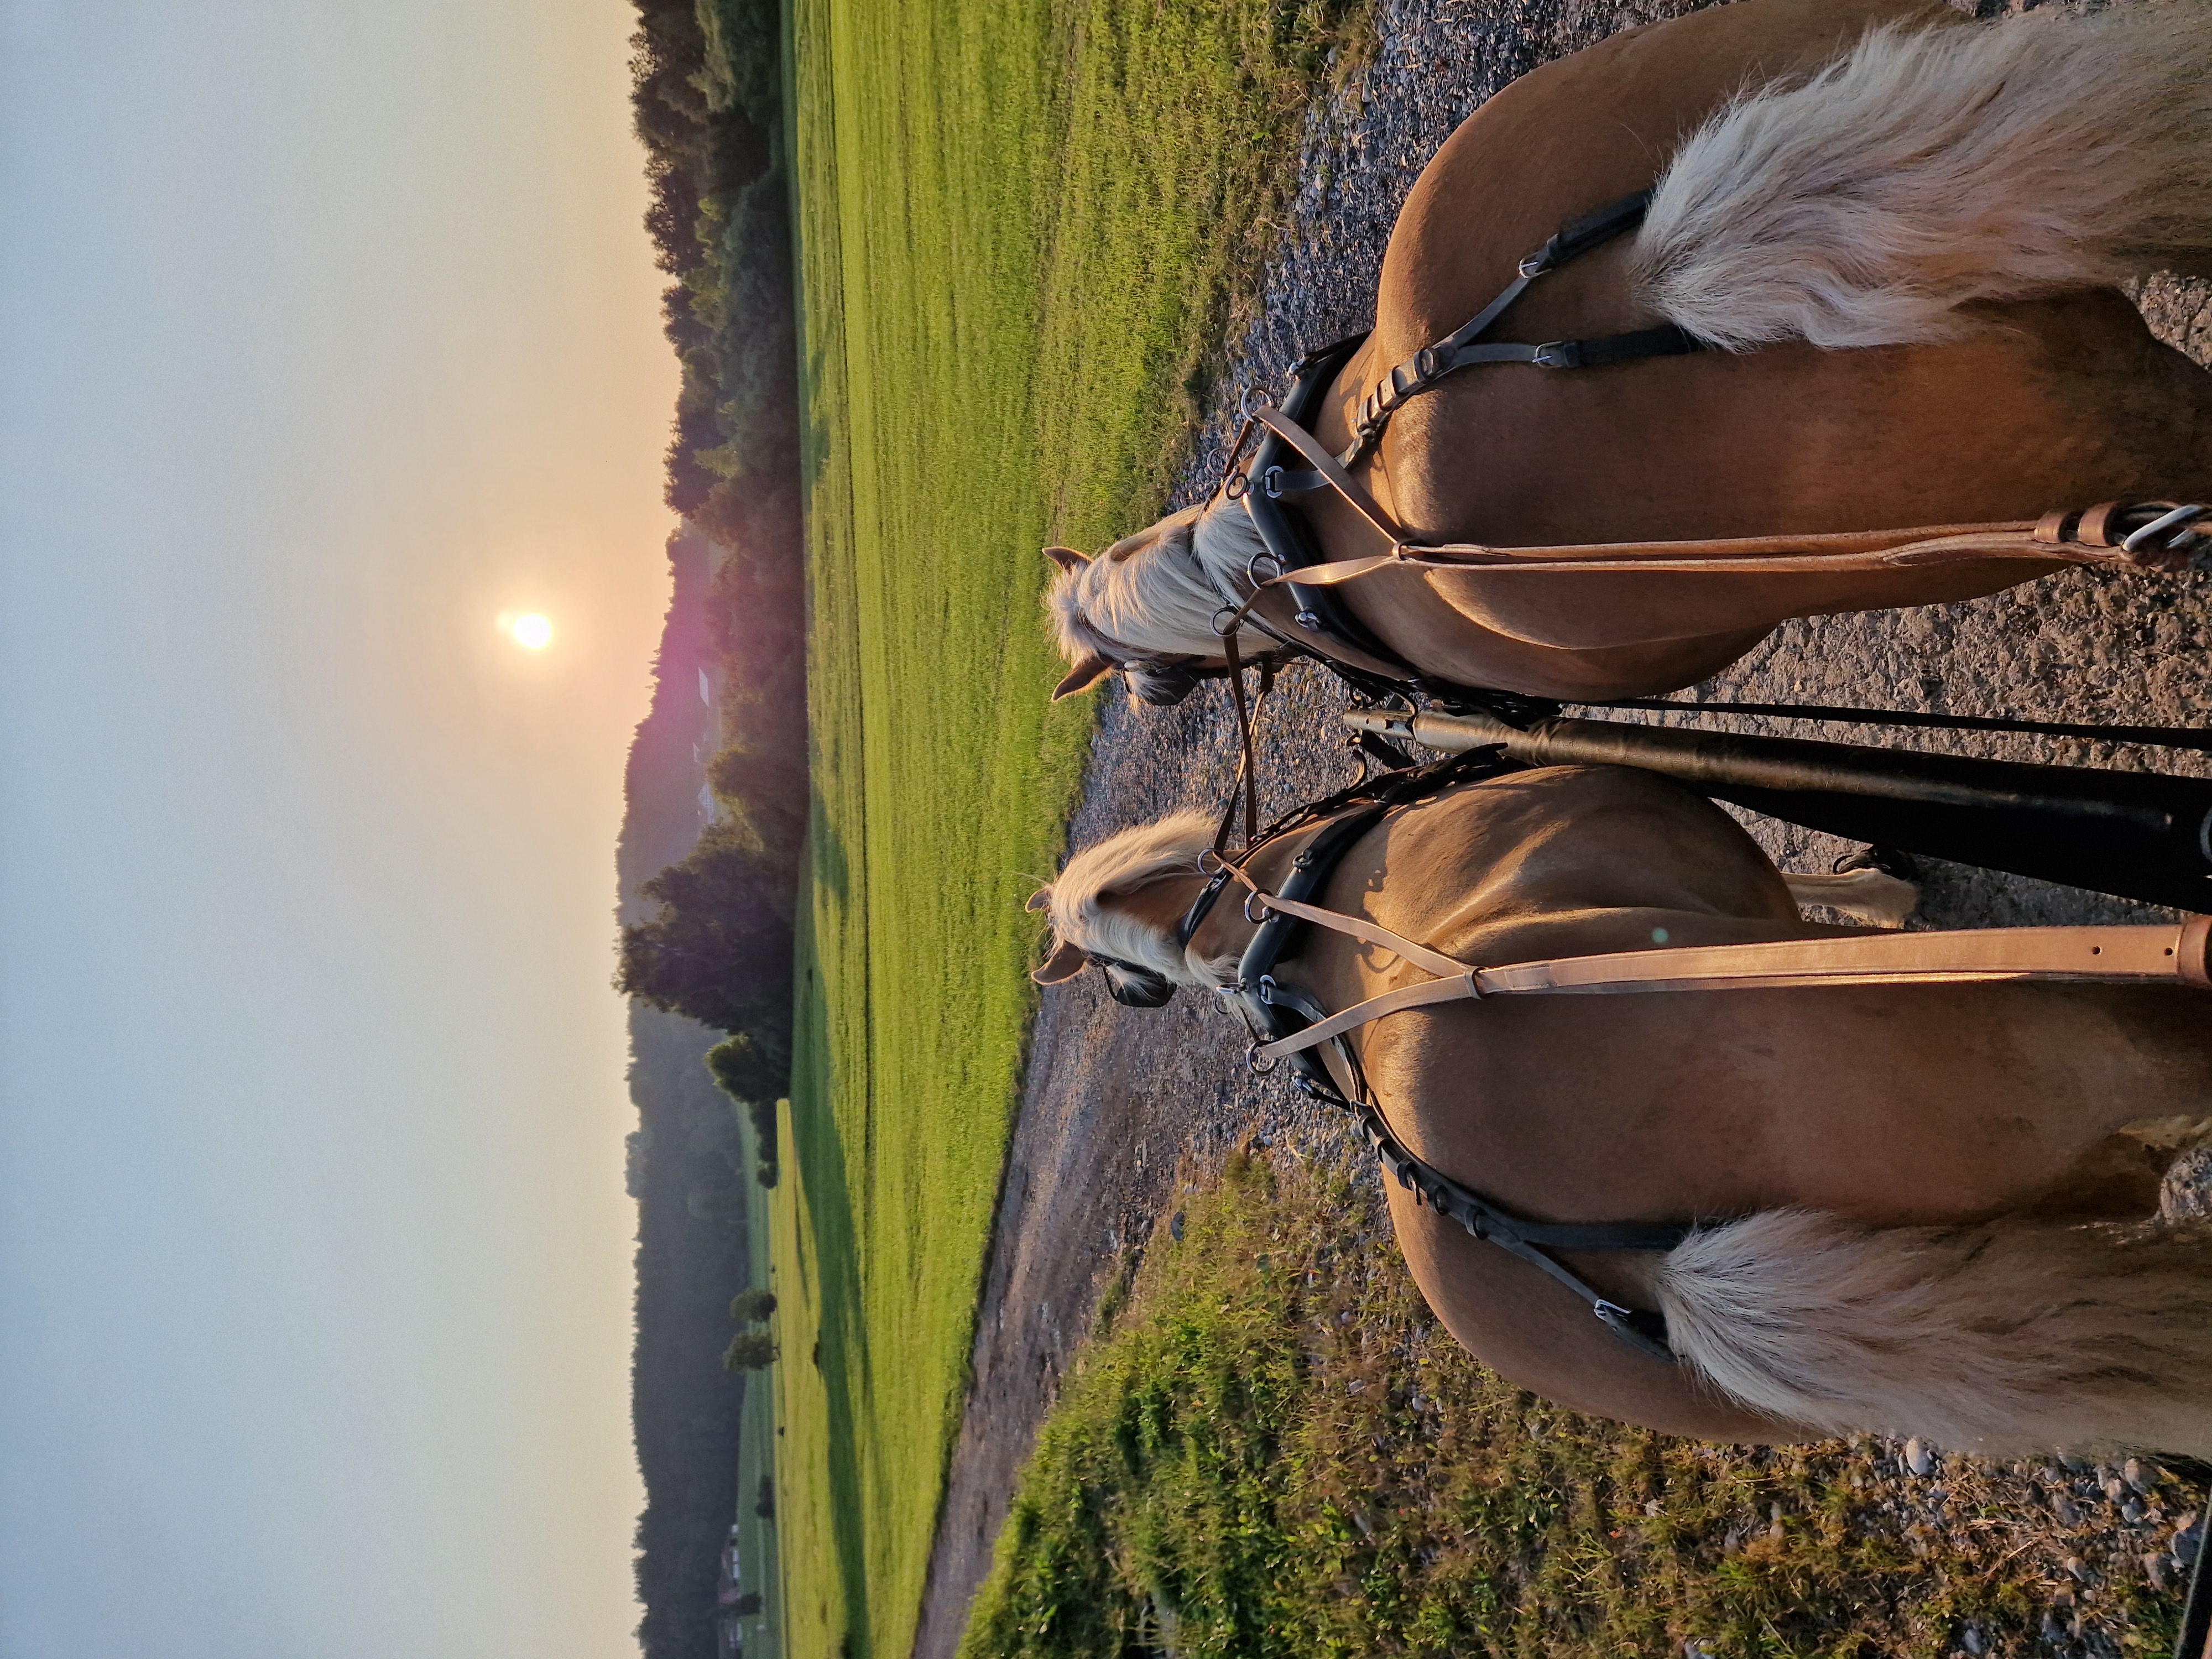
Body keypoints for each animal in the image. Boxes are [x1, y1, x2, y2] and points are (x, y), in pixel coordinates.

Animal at [1028, 761, 2212, 1452]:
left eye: (1116, 981)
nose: (1137, 993)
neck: (1266, 912)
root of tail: (1657, 1275)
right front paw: (1883, 883)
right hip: (2066, 1029)